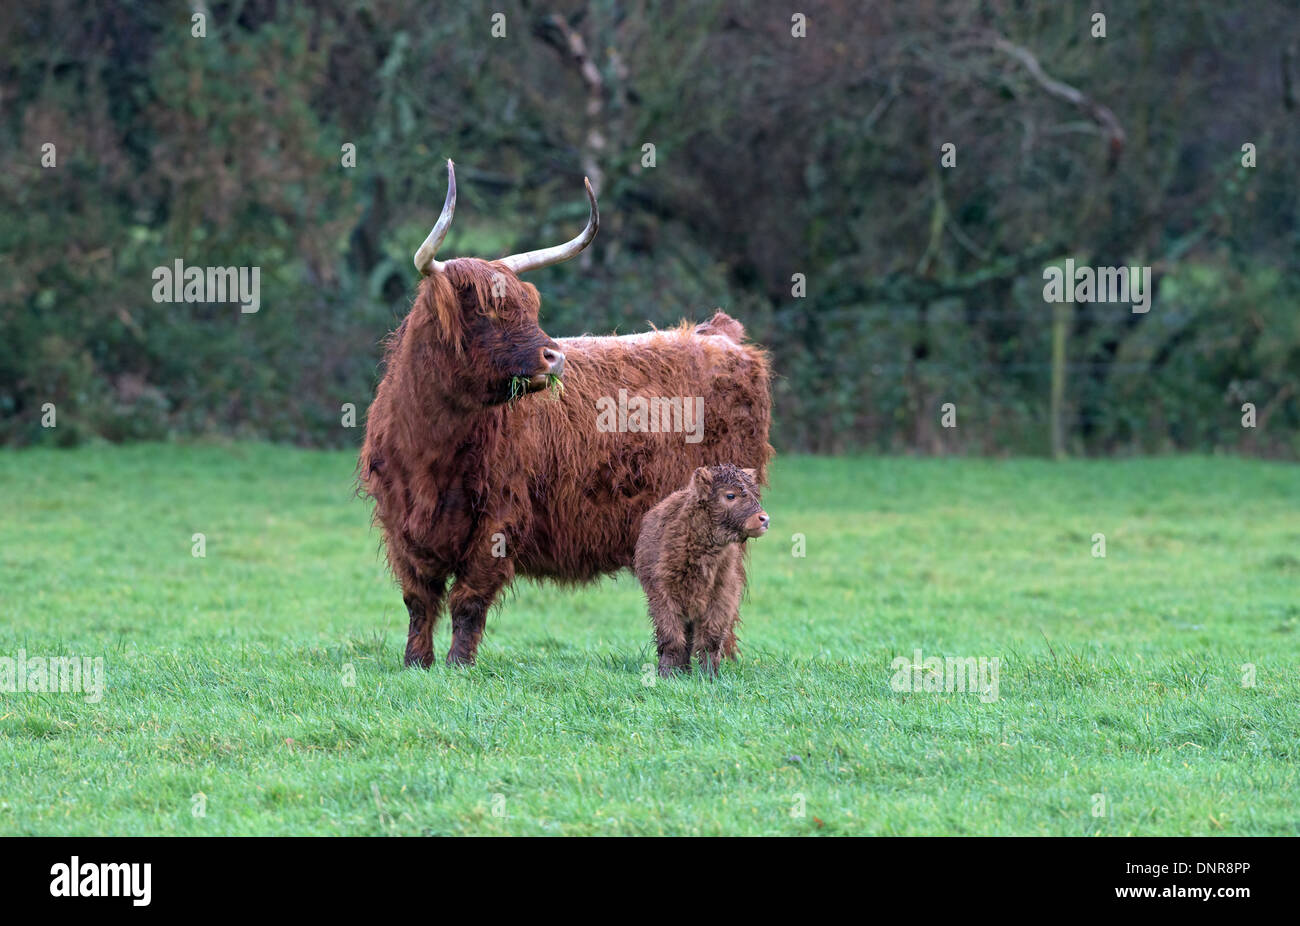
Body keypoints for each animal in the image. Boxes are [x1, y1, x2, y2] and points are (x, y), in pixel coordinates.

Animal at [359, 161, 772, 668]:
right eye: (485, 311)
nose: (554, 357)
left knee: (724, 591)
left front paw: (459, 664)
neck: (432, 448)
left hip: (728, 521)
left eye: (528, 307)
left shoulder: (499, 517)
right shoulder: (401, 520)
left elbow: (468, 599)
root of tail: (719, 336)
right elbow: (419, 598)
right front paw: (416, 661)